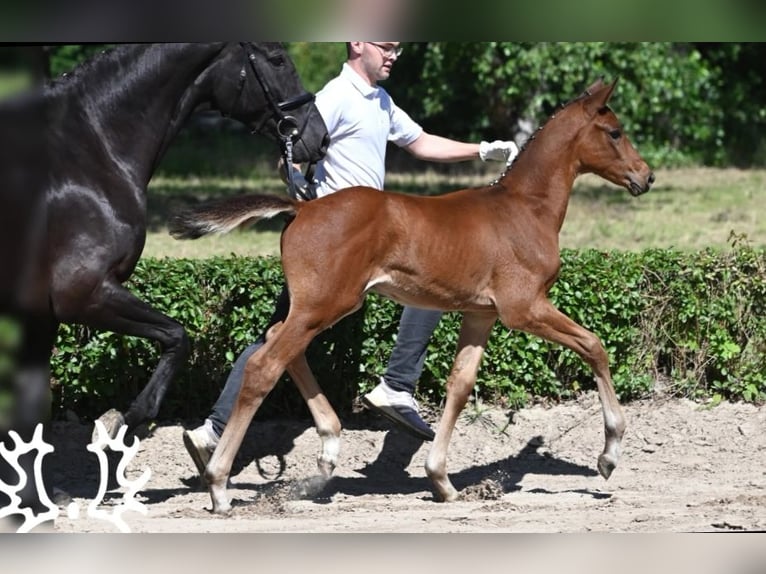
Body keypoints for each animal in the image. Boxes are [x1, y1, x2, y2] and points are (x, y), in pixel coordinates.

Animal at [0, 44, 330, 520]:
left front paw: (33, 497)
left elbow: (30, 406)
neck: (87, 153)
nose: (317, 138)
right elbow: (177, 337)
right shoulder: (84, 295)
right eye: (276, 58)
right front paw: (121, 429)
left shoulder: (41, 314)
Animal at [172, 79, 656, 516]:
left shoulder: (481, 315)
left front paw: (441, 481)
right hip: (325, 304)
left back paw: (328, 448)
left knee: (278, 343)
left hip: (320, 305)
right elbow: (594, 345)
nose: (646, 176)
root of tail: (303, 207)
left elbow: (460, 384)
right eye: (614, 132)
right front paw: (609, 455)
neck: (525, 208)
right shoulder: (524, 308)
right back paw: (219, 486)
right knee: (264, 364)